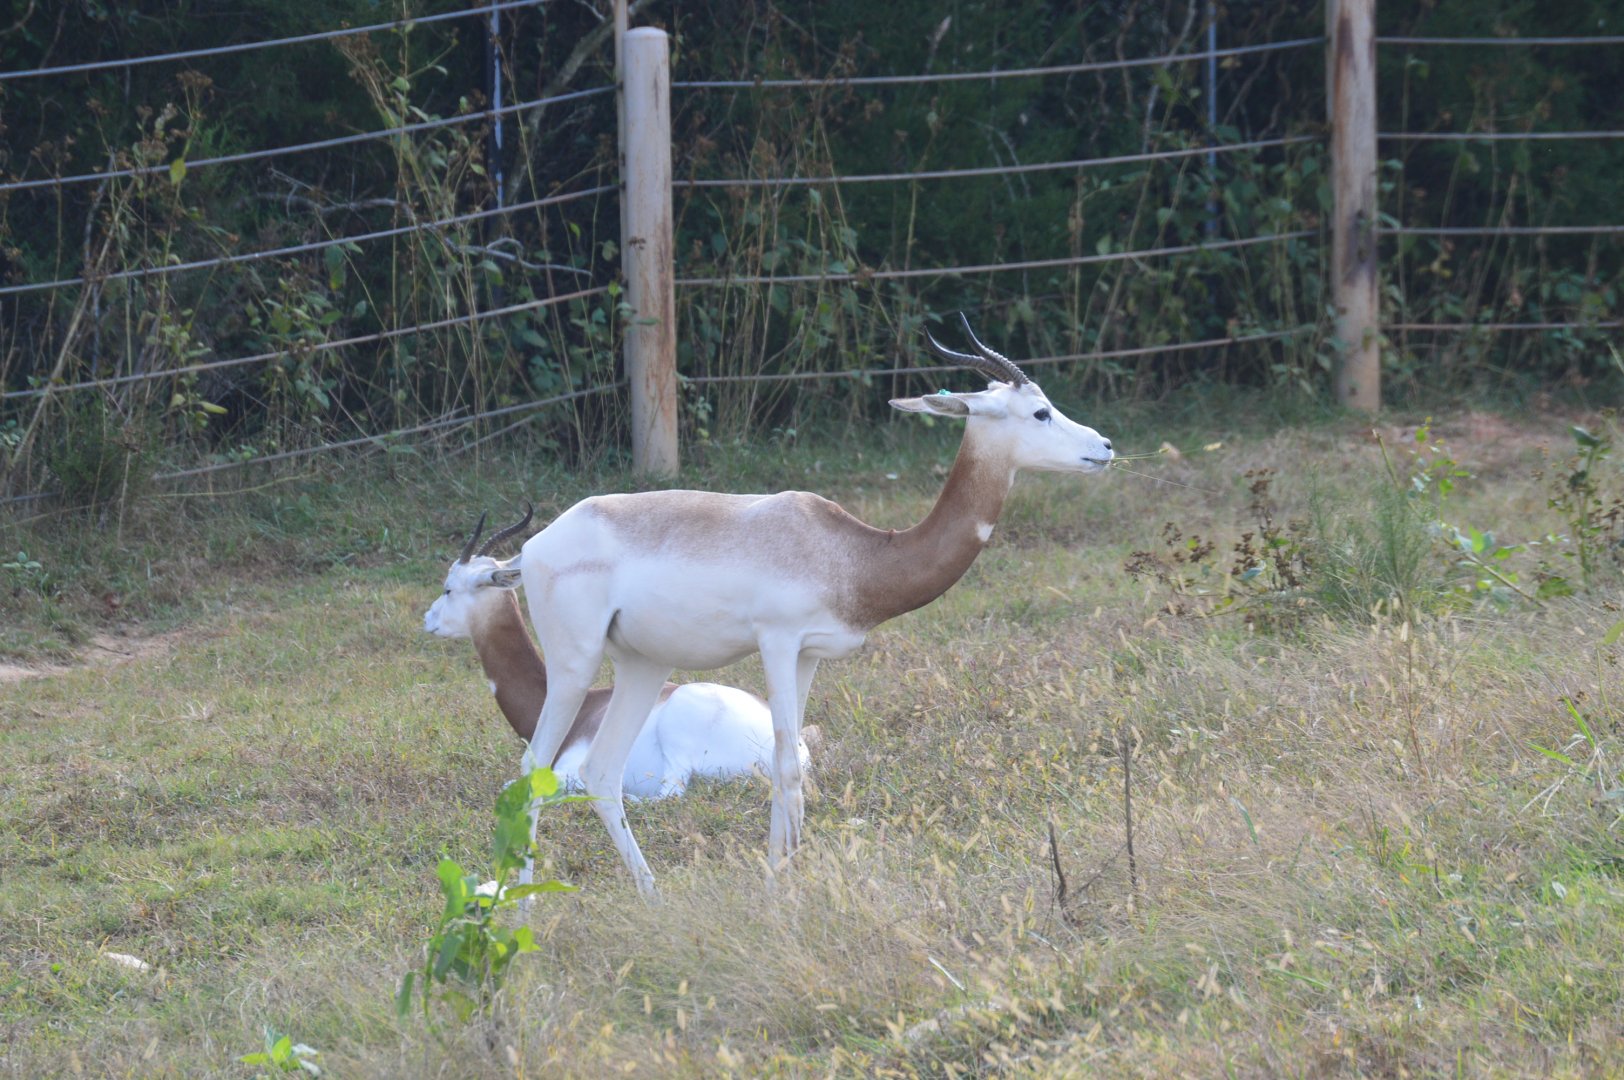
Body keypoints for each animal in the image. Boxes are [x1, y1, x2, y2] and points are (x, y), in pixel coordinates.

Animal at [516, 316, 1114, 895]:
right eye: (1040, 411)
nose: (1105, 445)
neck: (854, 554)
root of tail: (534, 546)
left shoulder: (808, 656)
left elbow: (795, 770)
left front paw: (783, 882)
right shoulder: (777, 643)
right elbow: (785, 765)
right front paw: (779, 892)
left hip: (644, 664)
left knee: (601, 771)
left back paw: (651, 895)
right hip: (575, 665)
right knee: (531, 768)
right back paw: (523, 904)